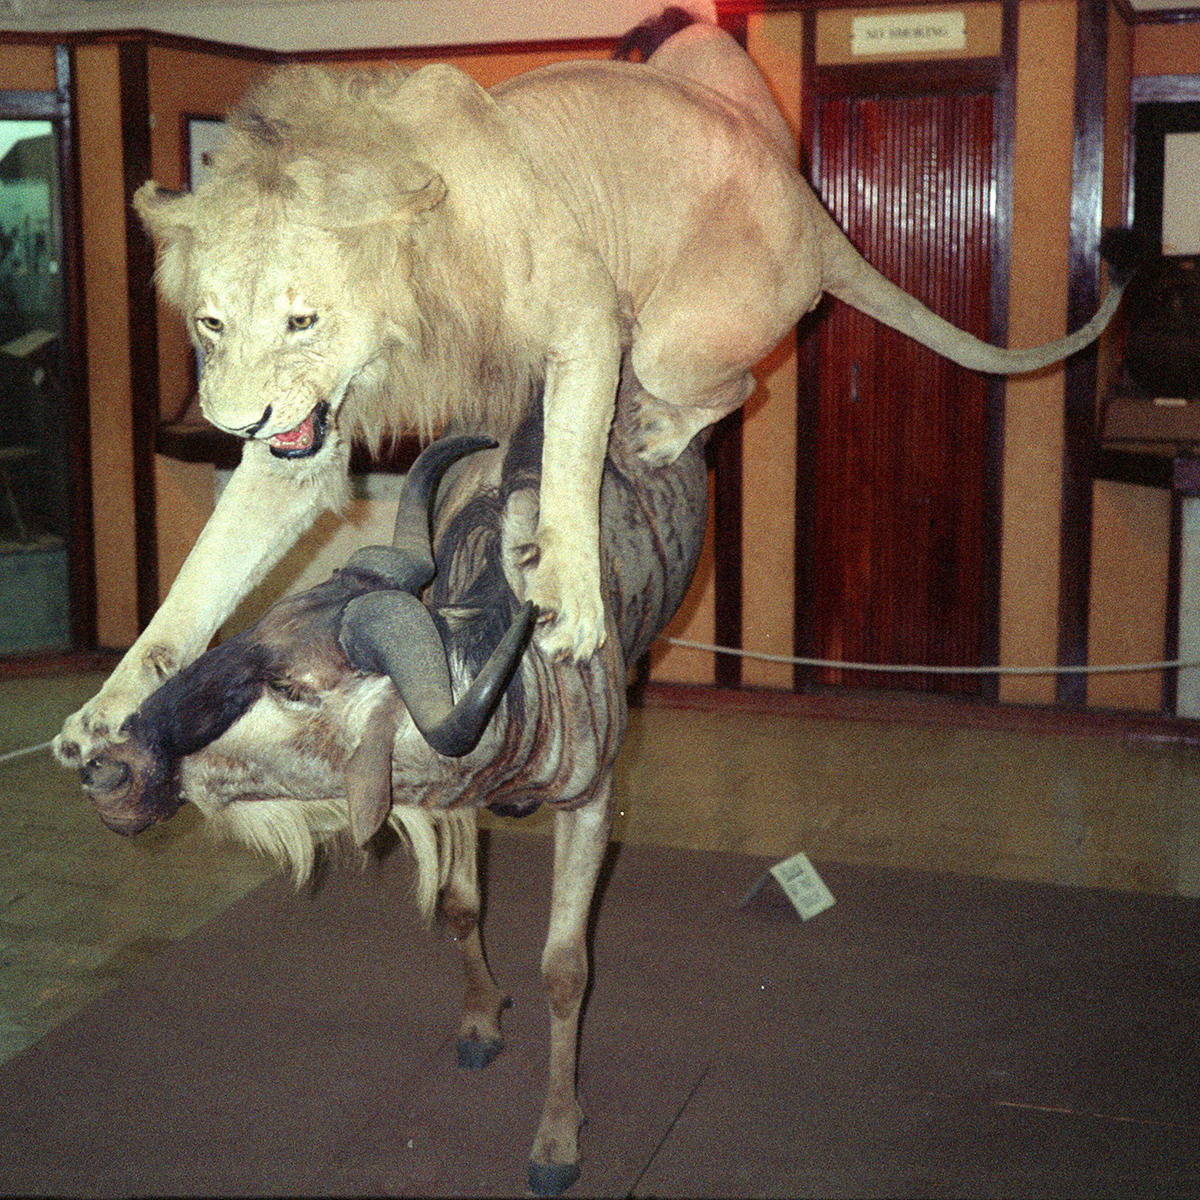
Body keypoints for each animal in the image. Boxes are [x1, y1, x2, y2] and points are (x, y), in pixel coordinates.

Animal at [56, 14, 1132, 768]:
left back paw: (654, 434)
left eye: (302, 320)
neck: (405, 307)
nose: (234, 420)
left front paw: (569, 597)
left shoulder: (581, 312)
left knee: (736, 382)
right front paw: (106, 710)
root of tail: (811, 205)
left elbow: (570, 458)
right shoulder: (301, 446)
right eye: (210, 325)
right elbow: (198, 584)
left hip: (668, 336)